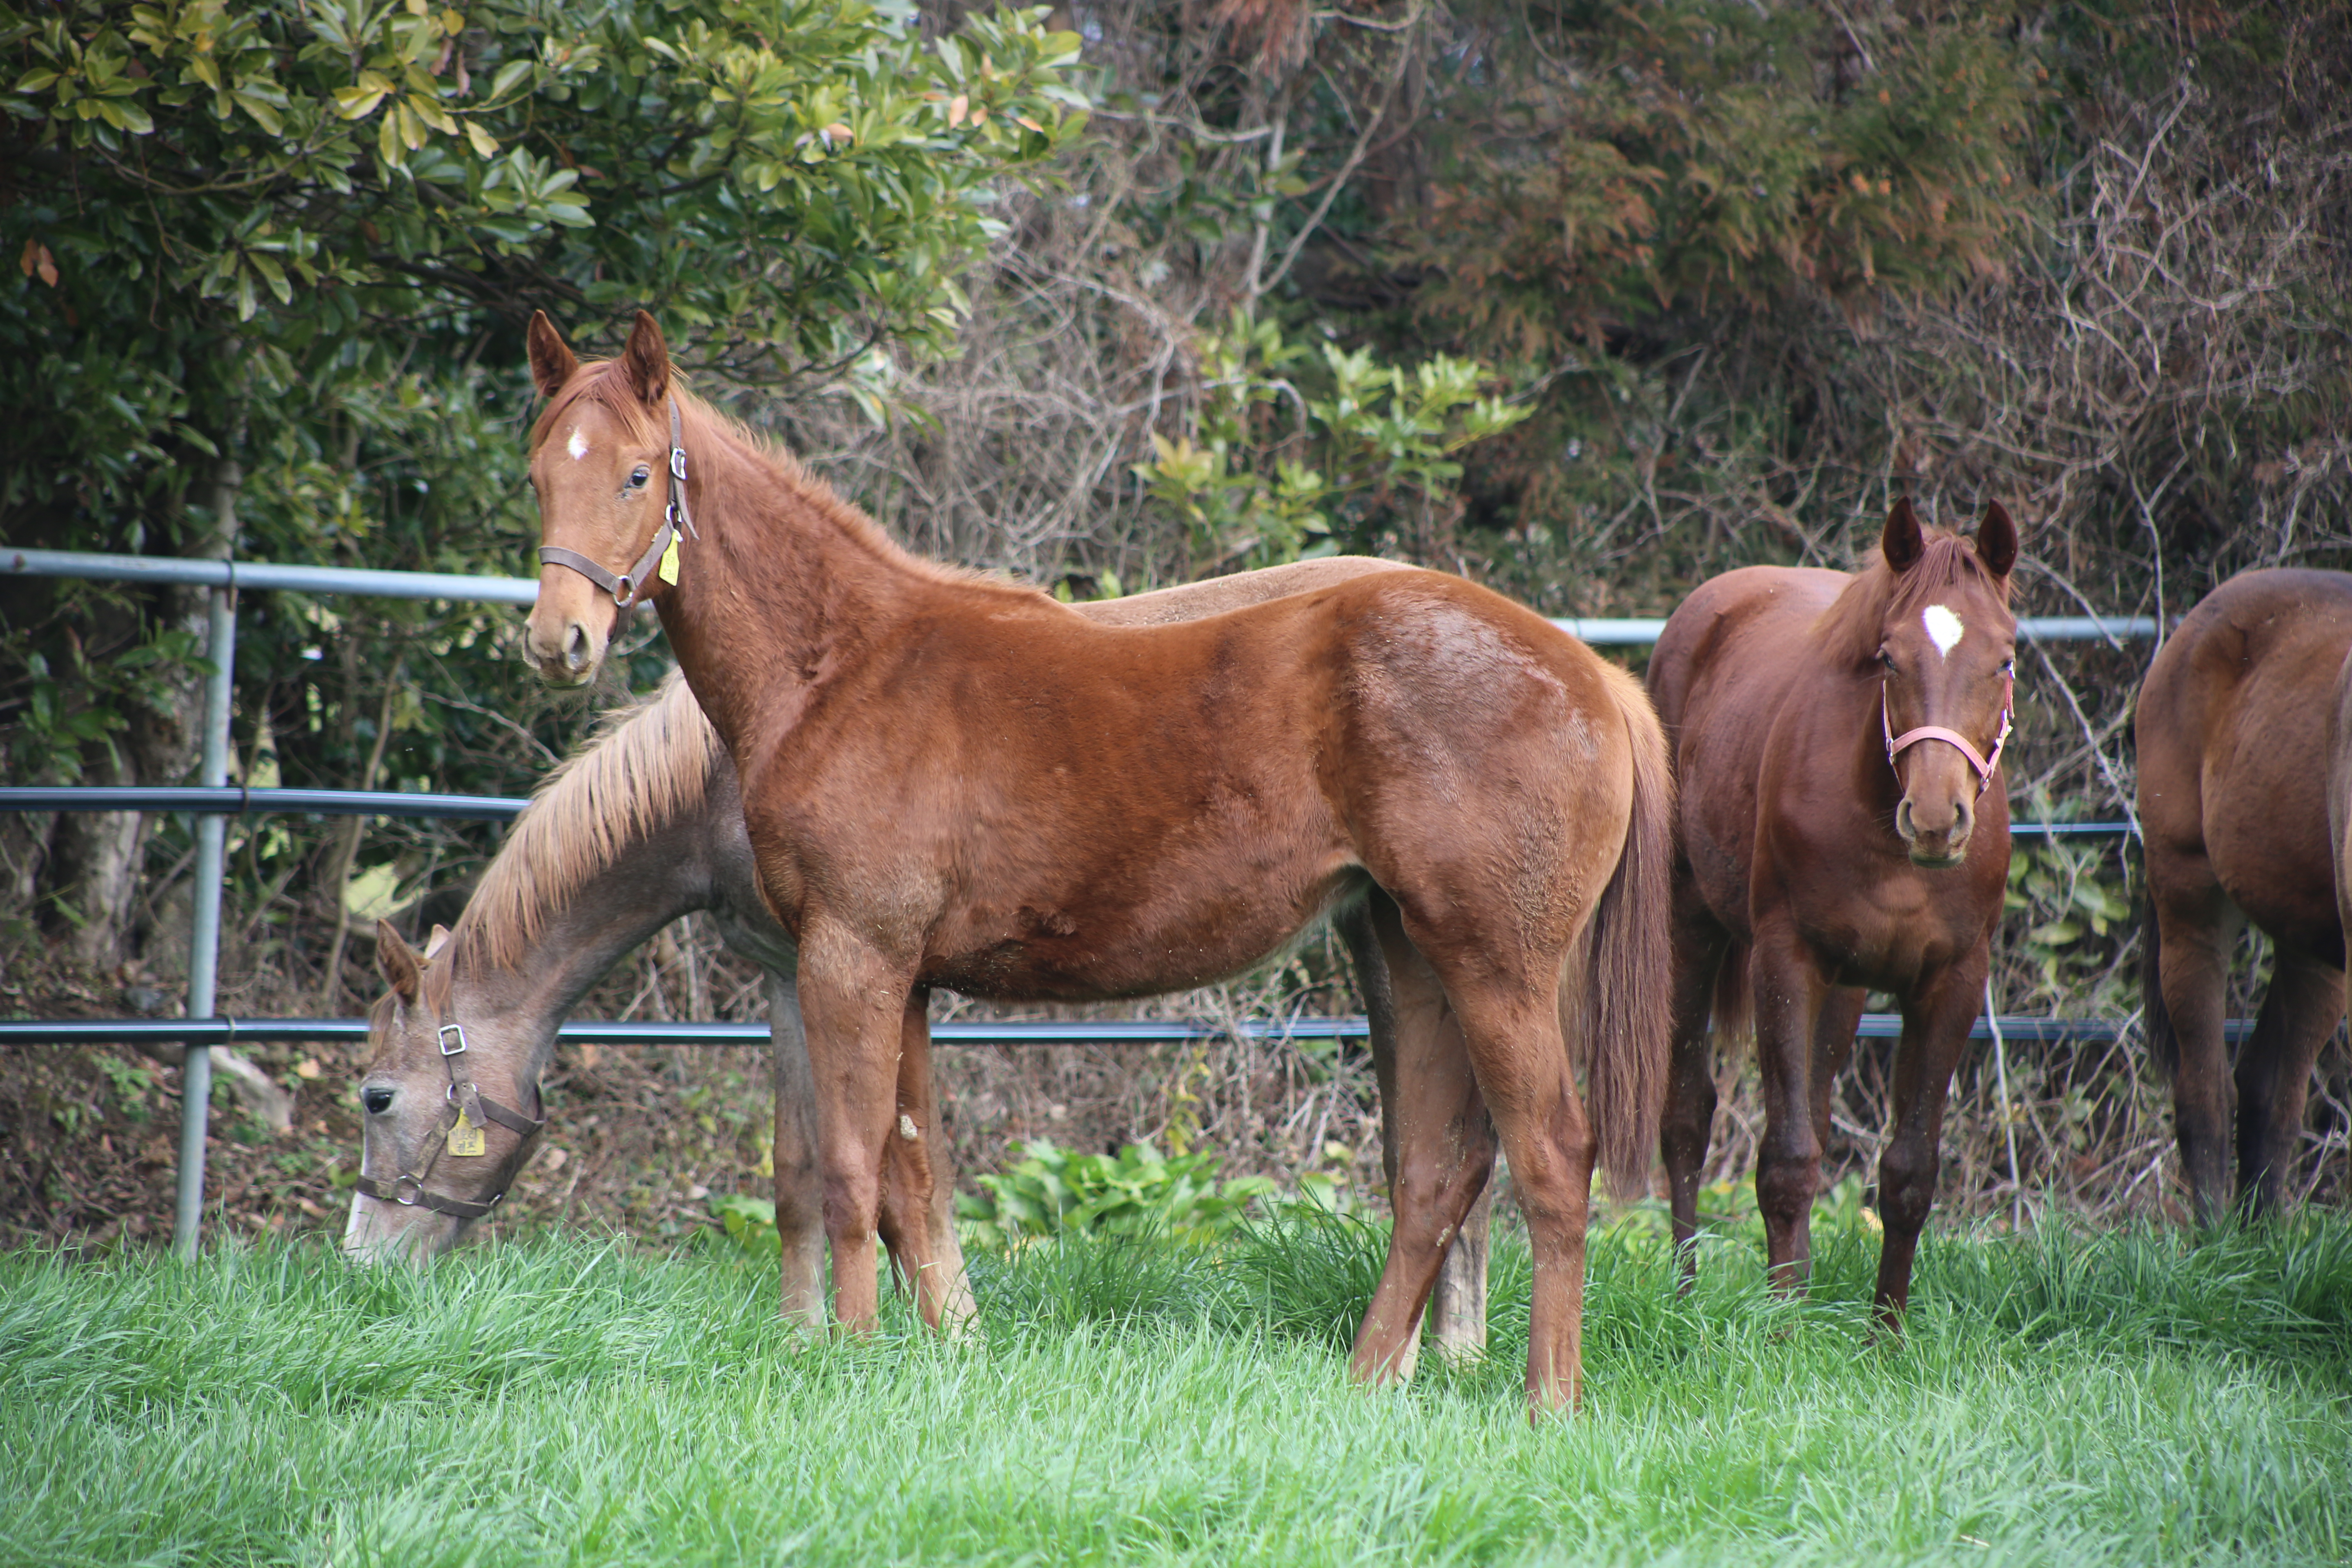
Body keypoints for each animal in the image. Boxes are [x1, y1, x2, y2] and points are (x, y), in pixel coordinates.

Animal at [341, 566, 1496, 1363]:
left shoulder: (869, 969)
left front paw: (937, 1335)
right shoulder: (787, 975)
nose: (356, 1270)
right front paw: (812, 1336)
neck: (741, 753)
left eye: (377, 1095)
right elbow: (805, 1171)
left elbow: (900, 1178)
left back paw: (1445, 1355)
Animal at [515, 305, 1675, 1410]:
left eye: (634, 472)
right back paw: (1366, 1381)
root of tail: (1593, 678)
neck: (839, 667)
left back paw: (1547, 1403)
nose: (557, 640)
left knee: (1549, 1158)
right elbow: (913, 1179)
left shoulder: (851, 957)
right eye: (538, 473)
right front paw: (949, 1350)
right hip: (1409, 951)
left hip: (1498, 968)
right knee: (1439, 1169)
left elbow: (849, 1172)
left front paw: (851, 1355)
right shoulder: (904, 979)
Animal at [1656, 503, 2022, 1326]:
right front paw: (1784, 1330)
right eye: (1889, 658)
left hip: (1848, 988)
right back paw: (1688, 1297)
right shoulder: (1785, 960)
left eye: (2006, 659)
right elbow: (1787, 1159)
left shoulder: (1953, 981)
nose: (1935, 820)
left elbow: (1910, 1173)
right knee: (1687, 1117)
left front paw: (1886, 1333)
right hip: (1690, 928)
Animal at [2145, 566, 2342, 1222]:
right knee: (2207, 1089)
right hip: (2191, 903)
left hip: (2308, 935)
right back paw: (2216, 1238)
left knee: (2269, 1088)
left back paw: (2266, 1236)